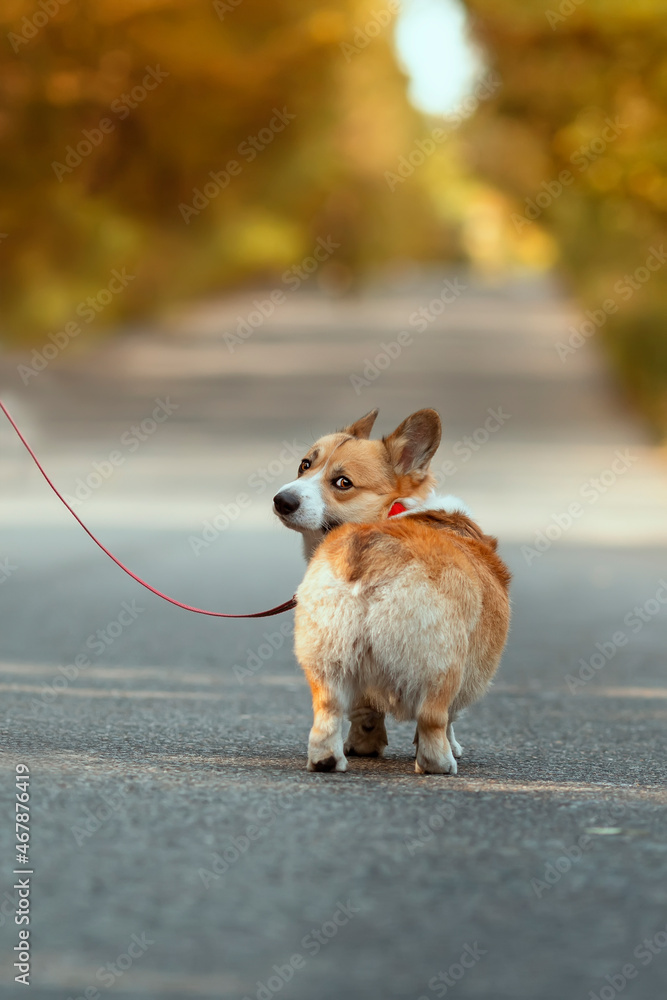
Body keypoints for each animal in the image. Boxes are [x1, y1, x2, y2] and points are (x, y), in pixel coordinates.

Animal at [272, 406, 512, 772]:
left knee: (328, 712)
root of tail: (371, 545)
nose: (281, 501)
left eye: (343, 482)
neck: (392, 511)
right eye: (305, 464)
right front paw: (453, 746)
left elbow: (365, 711)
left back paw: (328, 759)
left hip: (328, 656)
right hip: (441, 660)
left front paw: (364, 745)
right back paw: (440, 764)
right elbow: (451, 717)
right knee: (433, 717)